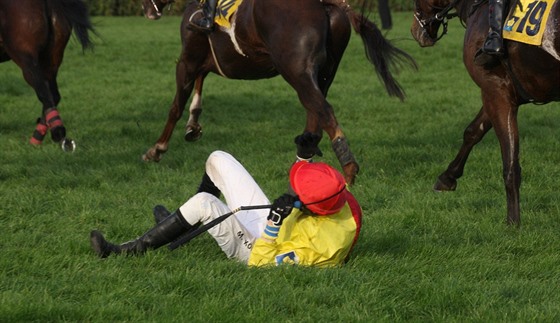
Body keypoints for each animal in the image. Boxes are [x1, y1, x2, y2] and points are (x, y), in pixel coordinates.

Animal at [0, 0, 94, 149]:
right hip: (52, 59)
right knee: (53, 94)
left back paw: (55, 132)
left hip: (25, 58)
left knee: (44, 93)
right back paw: (39, 136)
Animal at [140, 0, 416, 185]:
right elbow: (198, 88)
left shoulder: (187, 60)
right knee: (315, 113)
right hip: (322, 73)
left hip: (296, 71)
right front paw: (193, 125)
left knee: (323, 110)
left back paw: (347, 169)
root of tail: (326, 5)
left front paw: (157, 148)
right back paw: (304, 160)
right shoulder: (203, 60)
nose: (148, 10)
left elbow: (176, 106)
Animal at [410, 0, 556, 225]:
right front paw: (447, 178)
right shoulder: (500, 92)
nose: (415, 30)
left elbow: (509, 160)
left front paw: (513, 222)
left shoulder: (495, 91)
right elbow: (473, 132)